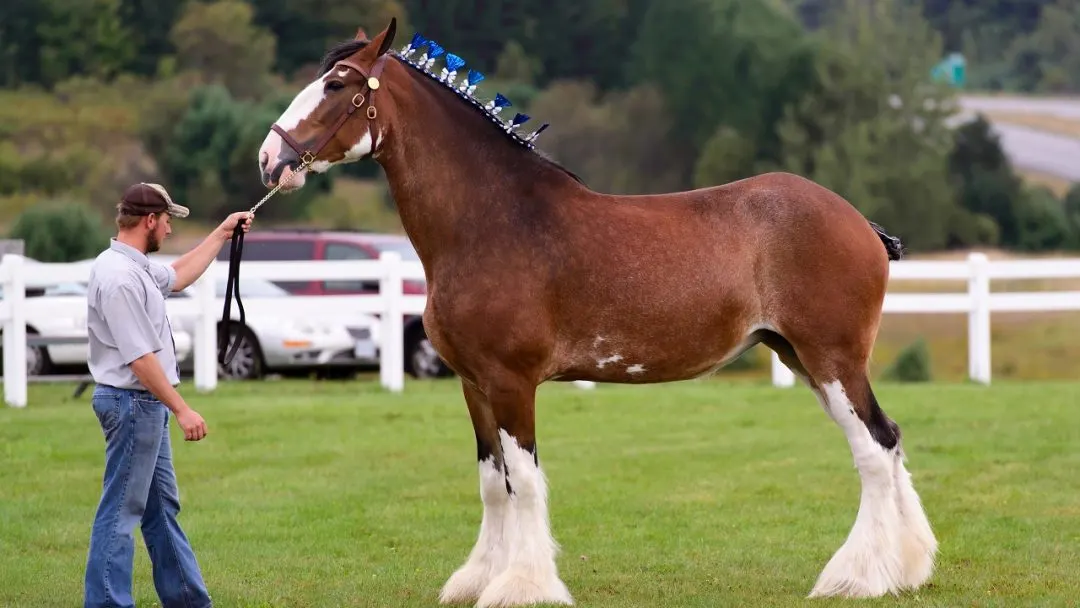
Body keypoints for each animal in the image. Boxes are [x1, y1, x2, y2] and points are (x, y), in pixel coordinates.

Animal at [256, 19, 938, 606]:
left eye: (337, 85)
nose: (269, 159)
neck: (490, 224)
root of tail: (861, 222)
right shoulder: (473, 384)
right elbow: (492, 481)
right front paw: (478, 577)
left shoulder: (511, 381)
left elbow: (524, 479)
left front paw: (523, 586)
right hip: (801, 358)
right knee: (888, 439)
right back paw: (906, 568)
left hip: (831, 360)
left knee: (873, 450)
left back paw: (857, 578)